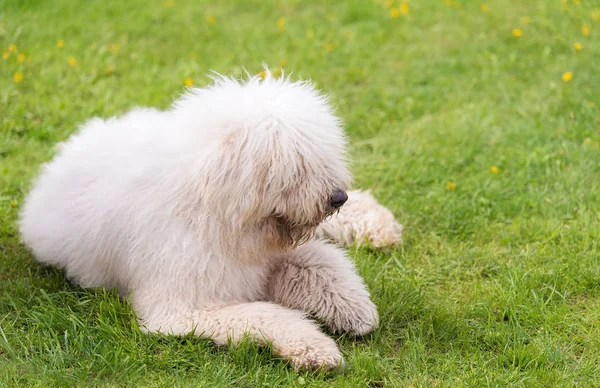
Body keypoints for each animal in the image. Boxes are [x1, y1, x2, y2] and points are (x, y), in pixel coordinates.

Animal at [18, 72, 392, 370]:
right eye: (297, 166)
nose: (337, 197)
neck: (214, 210)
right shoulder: (184, 306)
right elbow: (267, 314)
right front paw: (315, 347)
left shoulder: (273, 253)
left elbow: (321, 263)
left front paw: (355, 309)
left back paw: (380, 224)